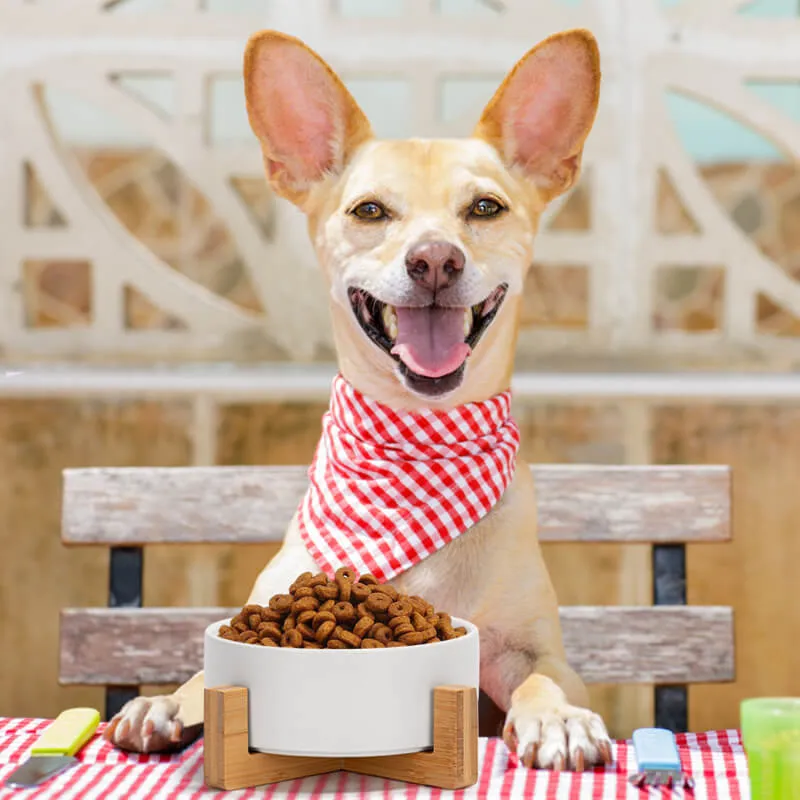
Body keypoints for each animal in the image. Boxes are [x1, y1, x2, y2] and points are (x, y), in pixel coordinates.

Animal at [104, 28, 608, 772]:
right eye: (370, 210)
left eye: (484, 207)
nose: (436, 260)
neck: (413, 443)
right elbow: (207, 673)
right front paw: (168, 701)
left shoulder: (530, 647)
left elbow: (544, 677)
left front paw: (559, 718)